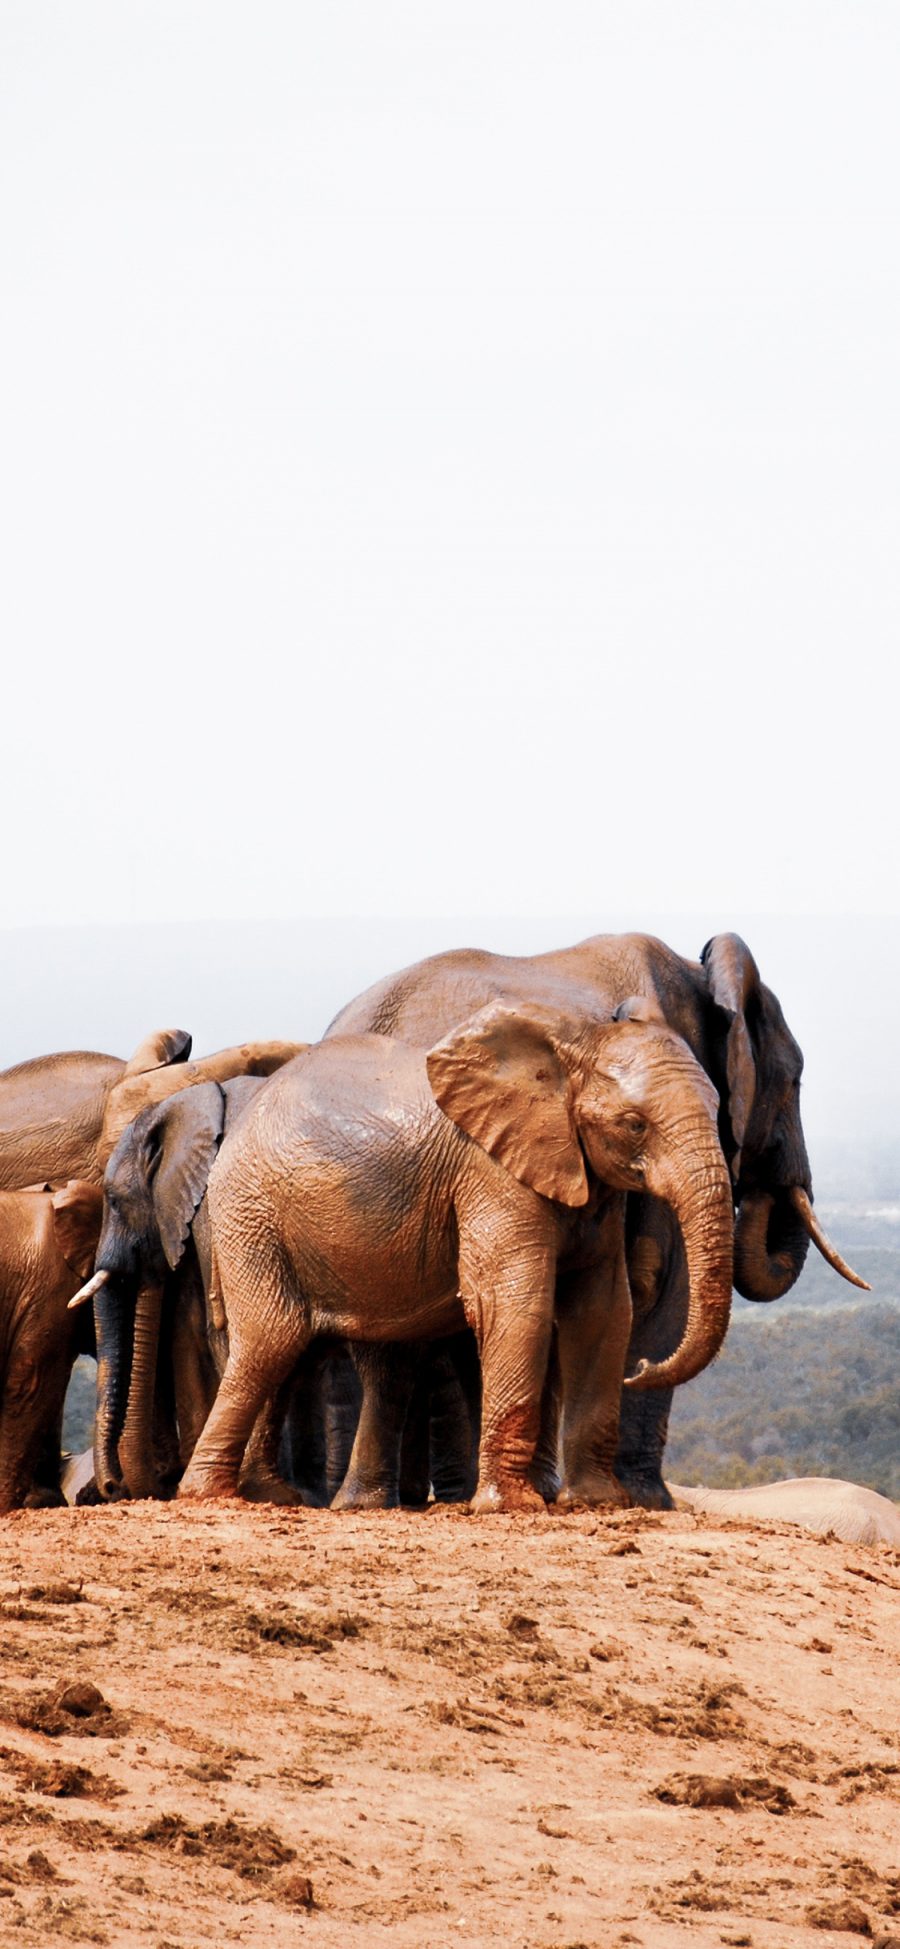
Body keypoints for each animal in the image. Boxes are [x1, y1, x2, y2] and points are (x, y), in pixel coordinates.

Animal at [179, 1005, 736, 1520]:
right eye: (634, 1124)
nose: (641, 1369)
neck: (573, 1043)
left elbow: (602, 1312)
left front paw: (596, 1503)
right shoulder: (491, 1173)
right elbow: (515, 1304)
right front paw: (512, 1506)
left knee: (323, 1356)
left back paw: (281, 1498)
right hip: (251, 1214)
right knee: (272, 1338)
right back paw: (208, 1495)